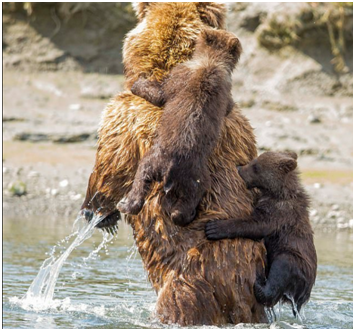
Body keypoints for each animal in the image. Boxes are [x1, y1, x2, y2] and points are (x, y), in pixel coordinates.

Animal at [118, 27, 243, 228]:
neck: (210, 62)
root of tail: (169, 170)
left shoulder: (184, 76)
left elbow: (160, 93)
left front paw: (139, 83)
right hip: (174, 171)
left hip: (178, 168)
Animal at [207, 152, 318, 316]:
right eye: (255, 161)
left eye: (256, 166)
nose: (239, 168)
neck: (278, 192)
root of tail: (304, 296)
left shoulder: (280, 212)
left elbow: (256, 225)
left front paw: (214, 227)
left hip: (298, 264)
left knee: (283, 266)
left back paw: (259, 284)